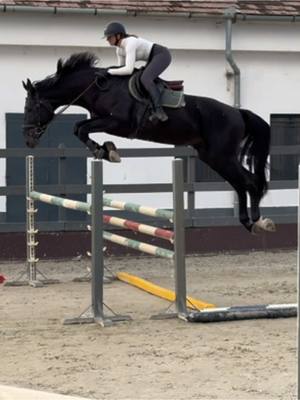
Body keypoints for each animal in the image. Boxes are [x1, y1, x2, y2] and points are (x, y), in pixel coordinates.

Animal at [22, 53, 276, 234]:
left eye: (31, 107)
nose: (28, 139)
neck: (97, 87)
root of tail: (238, 112)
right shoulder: (103, 121)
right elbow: (79, 128)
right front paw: (107, 150)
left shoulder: (117, 122)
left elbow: (81, 128)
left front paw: (105, 151)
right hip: (213, 157)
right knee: (241, 183)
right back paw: (249, 222)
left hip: (221, 156)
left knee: (249, 182)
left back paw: (257, 221)